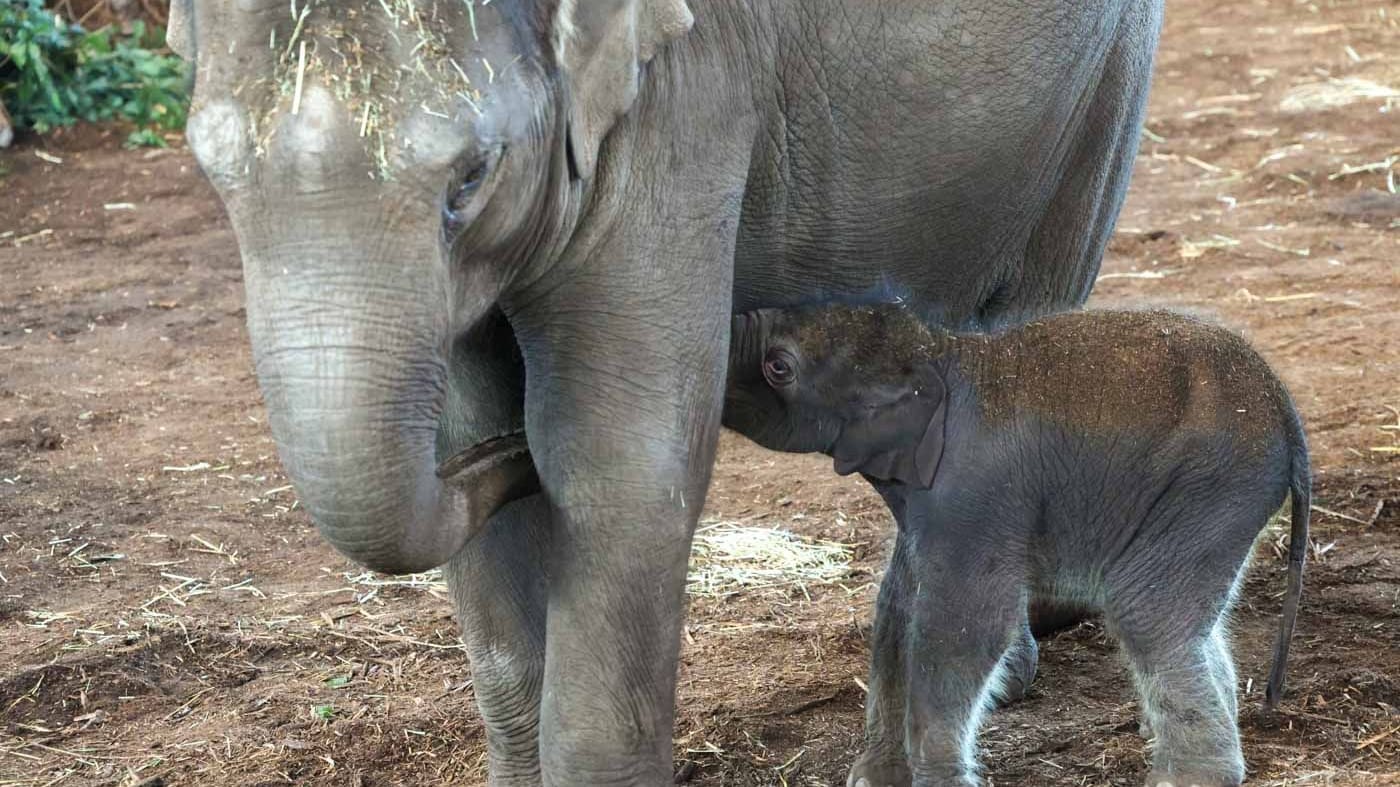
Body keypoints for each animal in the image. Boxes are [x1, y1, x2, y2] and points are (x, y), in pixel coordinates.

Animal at [169, 0, 1164, 778]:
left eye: (470, 175)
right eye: (212, 175)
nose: (511, 460)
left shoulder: (686, 101)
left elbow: (623, 466)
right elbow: (468, 437)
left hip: (1100, 94)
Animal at [728, 301, 1304, 784]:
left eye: (778, 367)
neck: (940, 350)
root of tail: (1284, 408)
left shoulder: (977, 496)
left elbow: (967, 626)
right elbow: (899, 610)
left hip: (1208, 486)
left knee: (1148, 614)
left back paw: (1189, 779)